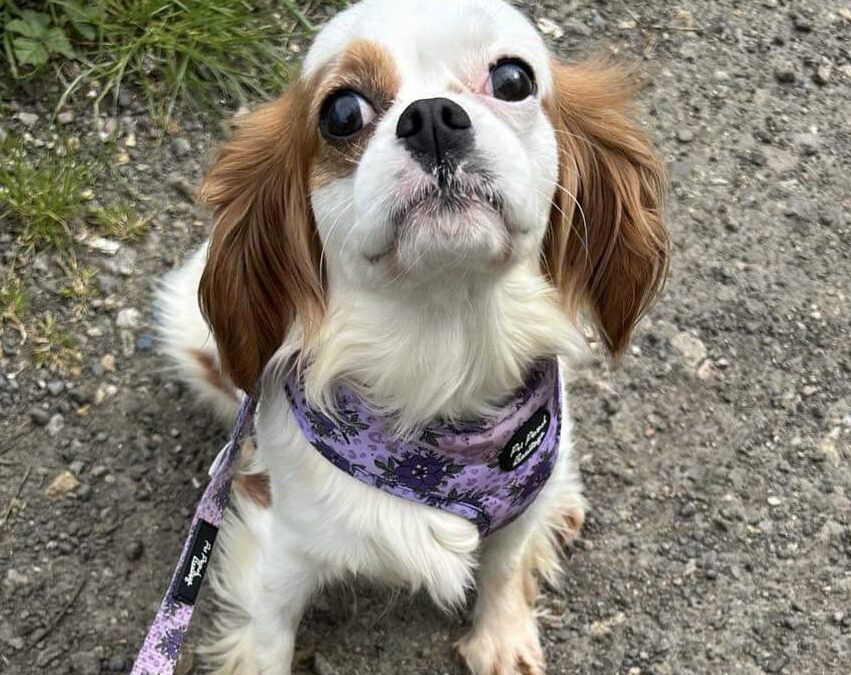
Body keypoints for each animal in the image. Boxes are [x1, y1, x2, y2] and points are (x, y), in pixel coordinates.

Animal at [156, 0, 668, 672]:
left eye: (513, 80)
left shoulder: (516, 496)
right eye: (342, 112)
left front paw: (502, 635)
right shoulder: (279, 546)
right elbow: (268, 636)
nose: (430, 118)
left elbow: (505, 563)